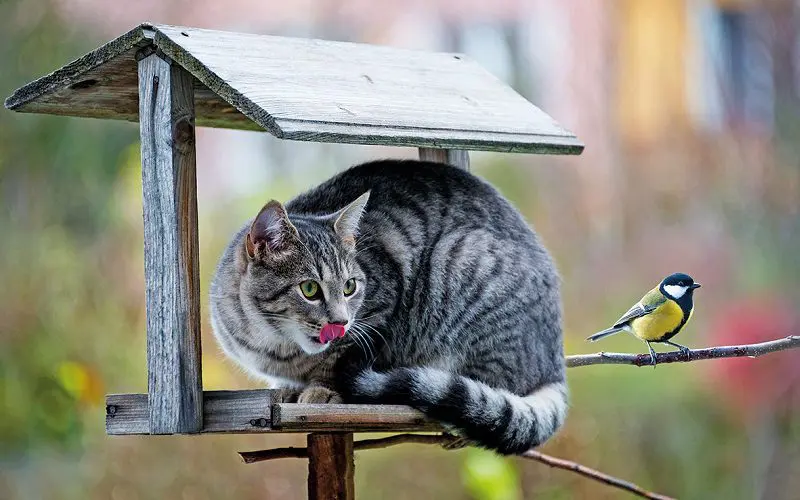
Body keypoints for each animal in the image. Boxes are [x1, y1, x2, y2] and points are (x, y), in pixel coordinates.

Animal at [209, 159, 564, 454]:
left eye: (350, 287)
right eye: (309, 289)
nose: (340, 321)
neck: (276, 347)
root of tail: (555, 361)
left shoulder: (378, 311)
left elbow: (338, 359)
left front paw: (322, 389)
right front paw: (286, 389)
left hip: (460, 260)